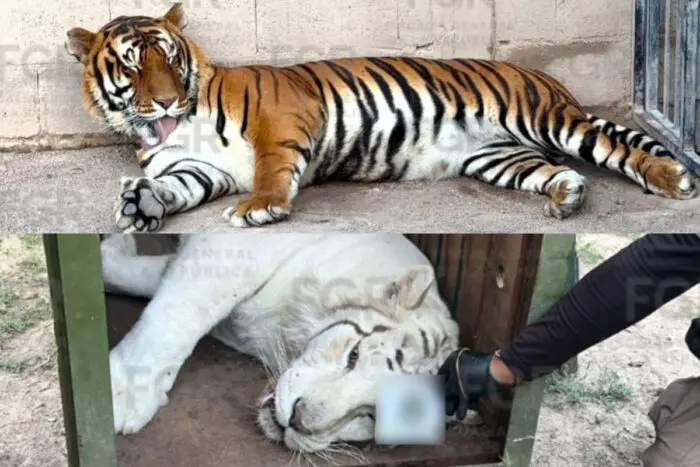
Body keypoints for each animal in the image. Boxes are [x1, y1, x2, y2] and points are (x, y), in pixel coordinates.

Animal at [65, 3, 697, 232]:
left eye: (170, 58)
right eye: (133, 65)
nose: (167, 101)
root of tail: (547, 78)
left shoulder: (282, 118)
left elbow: (271, 167)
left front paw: (261, 207)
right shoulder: (200, 168)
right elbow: (174, 187)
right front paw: (141, 204)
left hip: (548, 120)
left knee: (616, 147)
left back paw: (675, 180)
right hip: (500, 157)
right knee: (560, 171)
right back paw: (567, 197)